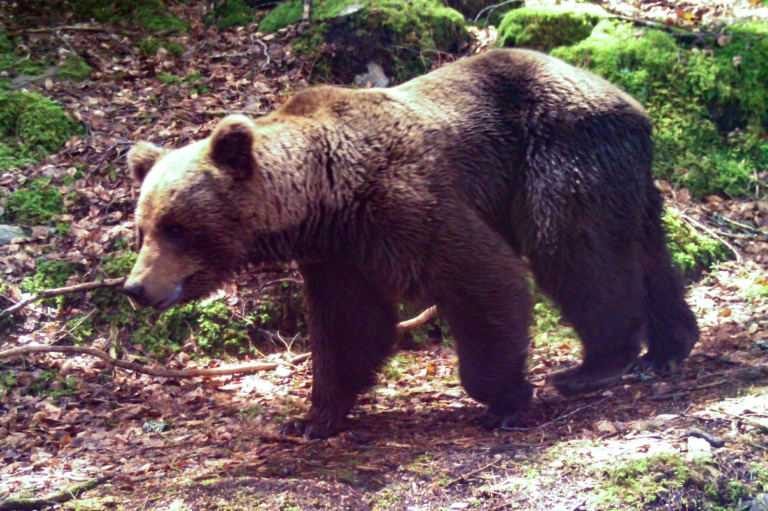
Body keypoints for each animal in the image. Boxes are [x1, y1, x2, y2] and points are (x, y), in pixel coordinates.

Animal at [123, 49, 700, 440]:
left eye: (176, 226)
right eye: (143, 228)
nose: (135, 287)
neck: (325, 197)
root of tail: (632, 104)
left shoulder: (406, 204)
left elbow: (485, 278)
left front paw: (507, 400)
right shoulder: (338, 256)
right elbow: (350, 327)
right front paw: (310, 418)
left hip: (559, 154)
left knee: (573, 249)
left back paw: (595, 364)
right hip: (621, 177)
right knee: (646, 253)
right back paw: (668, 347)